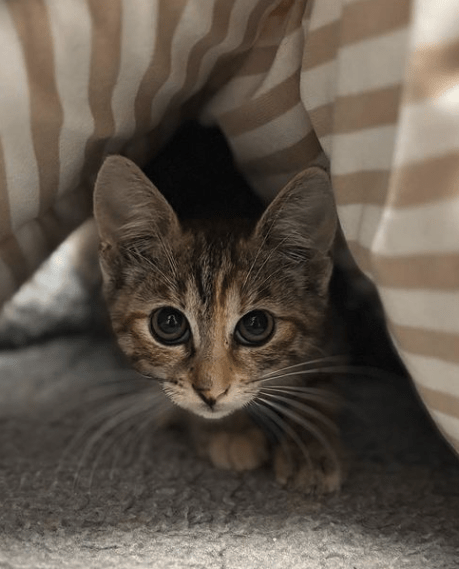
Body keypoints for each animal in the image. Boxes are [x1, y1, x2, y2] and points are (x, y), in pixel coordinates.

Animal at [93, 131, 344, 490]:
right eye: (168, 323)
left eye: (256, 325)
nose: (210, 394)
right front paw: (229, 432)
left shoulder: (333, 332)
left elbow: (323, 391)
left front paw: (309, 448)